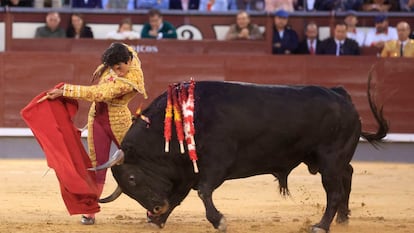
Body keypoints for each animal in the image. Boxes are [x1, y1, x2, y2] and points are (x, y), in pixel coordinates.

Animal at [94, 73, 388, 233]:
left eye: (132, 179)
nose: (155, 208)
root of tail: (342, 95)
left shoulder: (215, 165)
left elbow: (203, 192)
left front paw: (219, 221)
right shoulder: (188, 171)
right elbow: (179, 197)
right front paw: (158, 221)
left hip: (329, 159)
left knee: (334, 191)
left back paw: (321, 225)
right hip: (330, 160)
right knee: (347, 177)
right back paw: (343, 219)